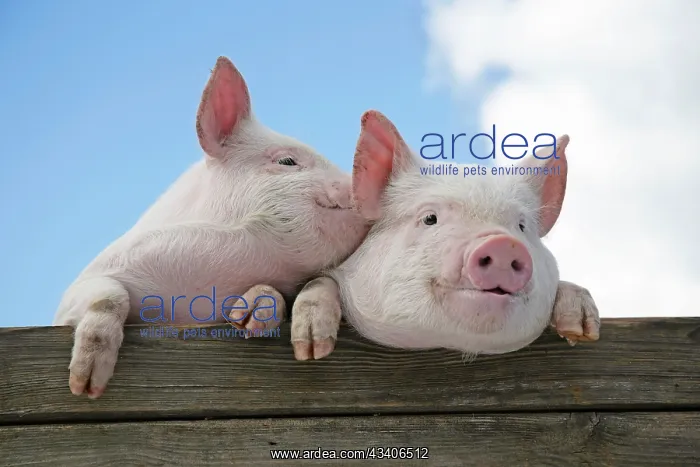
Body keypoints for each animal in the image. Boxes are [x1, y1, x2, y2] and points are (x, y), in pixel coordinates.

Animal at [53, 56, 369, 398]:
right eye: (287, 161)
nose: (360, 181)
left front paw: (265, 325)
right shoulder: (79, 290)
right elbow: (109, 295)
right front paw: (85, 386)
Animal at [290, 110, 600, 360]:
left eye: (521, 226)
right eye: (430, 218)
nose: (502, 243)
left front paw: (582, 329)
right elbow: (320, 282)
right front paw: (312, 350)